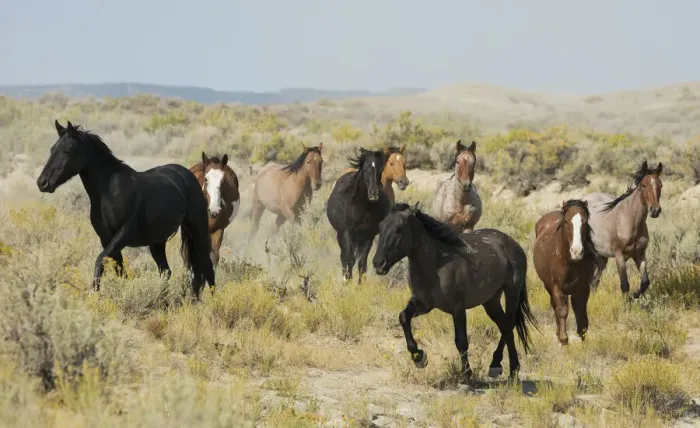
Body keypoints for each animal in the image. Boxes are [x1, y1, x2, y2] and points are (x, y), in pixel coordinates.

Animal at [36, 120, 215, 300]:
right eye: (52, 149)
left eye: (67, 151)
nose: (42, 183)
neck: (110, 191)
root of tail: (188, 174)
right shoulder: (106, 239)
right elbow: (120, 271)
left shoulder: (123, 235)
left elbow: (100, 260)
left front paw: (93, 293)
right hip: (157, 241)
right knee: (166, 271)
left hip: (197, 230)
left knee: (207, 267)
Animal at [327, 148, 390, 283]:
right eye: (365, 169)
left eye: (381, 169)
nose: (374, 193)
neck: (362, 209)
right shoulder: (346, 233)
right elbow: (349, 258)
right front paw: (348, 281)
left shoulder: (368, 235)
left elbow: (362, 262)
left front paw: (360, 285)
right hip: (341, 235)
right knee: (344, 257)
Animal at [372, 202, 537, 381]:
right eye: (380, 227)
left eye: (399, 229)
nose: (378, 263)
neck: (436, 266)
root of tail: (512, 244)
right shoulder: (422, 304)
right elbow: (403, 317)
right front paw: (419, 357)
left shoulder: (458, 308)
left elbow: (461, 341)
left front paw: (466, 373)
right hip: (491, 301)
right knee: (505, 326)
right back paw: (497, 366)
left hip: (512, 291)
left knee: (509, 325)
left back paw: (511, 370)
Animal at [533, 200, 597, 346]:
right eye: (567, 221)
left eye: (585, 221)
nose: (576, 251)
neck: (570, 262)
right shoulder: (558, 288)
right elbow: (562, 311)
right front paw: (563, 340)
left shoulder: (582, 289)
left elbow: (581, 314)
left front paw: (582, 339)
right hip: (549, 287)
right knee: (555, 306)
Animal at [580, 161, 663, 299]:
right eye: (643, 185)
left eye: (660, 185)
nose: (655, 210)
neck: (630, 222)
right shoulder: (619, 256)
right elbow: (624, 285)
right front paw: (627, 302)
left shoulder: (640, 254)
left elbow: (645, 282)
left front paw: (635, 295)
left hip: (600, 256)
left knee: (594, 281)